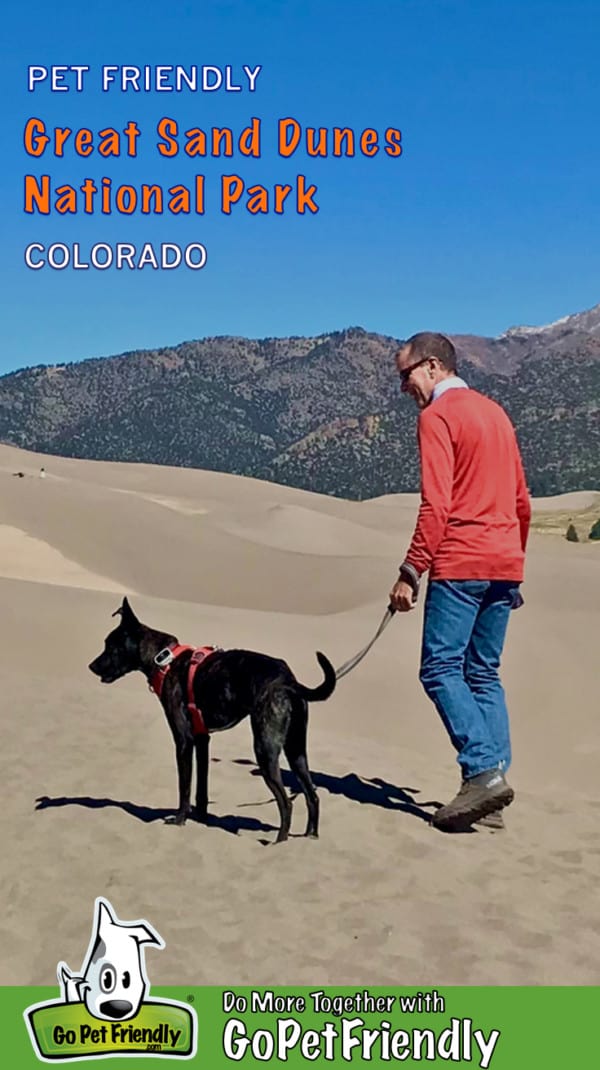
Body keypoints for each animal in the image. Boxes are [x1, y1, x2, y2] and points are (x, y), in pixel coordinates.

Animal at [87, 599, 337, 838]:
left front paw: (179, 819)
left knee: (286, 803)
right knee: (312, 796)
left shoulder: (184, 740)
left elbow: (185, 787)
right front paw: (201, 818)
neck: (164, 661)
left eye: (110, 646)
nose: (91, 666)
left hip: (265, 750)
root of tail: (288, 681)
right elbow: (201, 788)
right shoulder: (202, 739)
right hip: (296, 751)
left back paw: (279, 842)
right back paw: (310, 837)